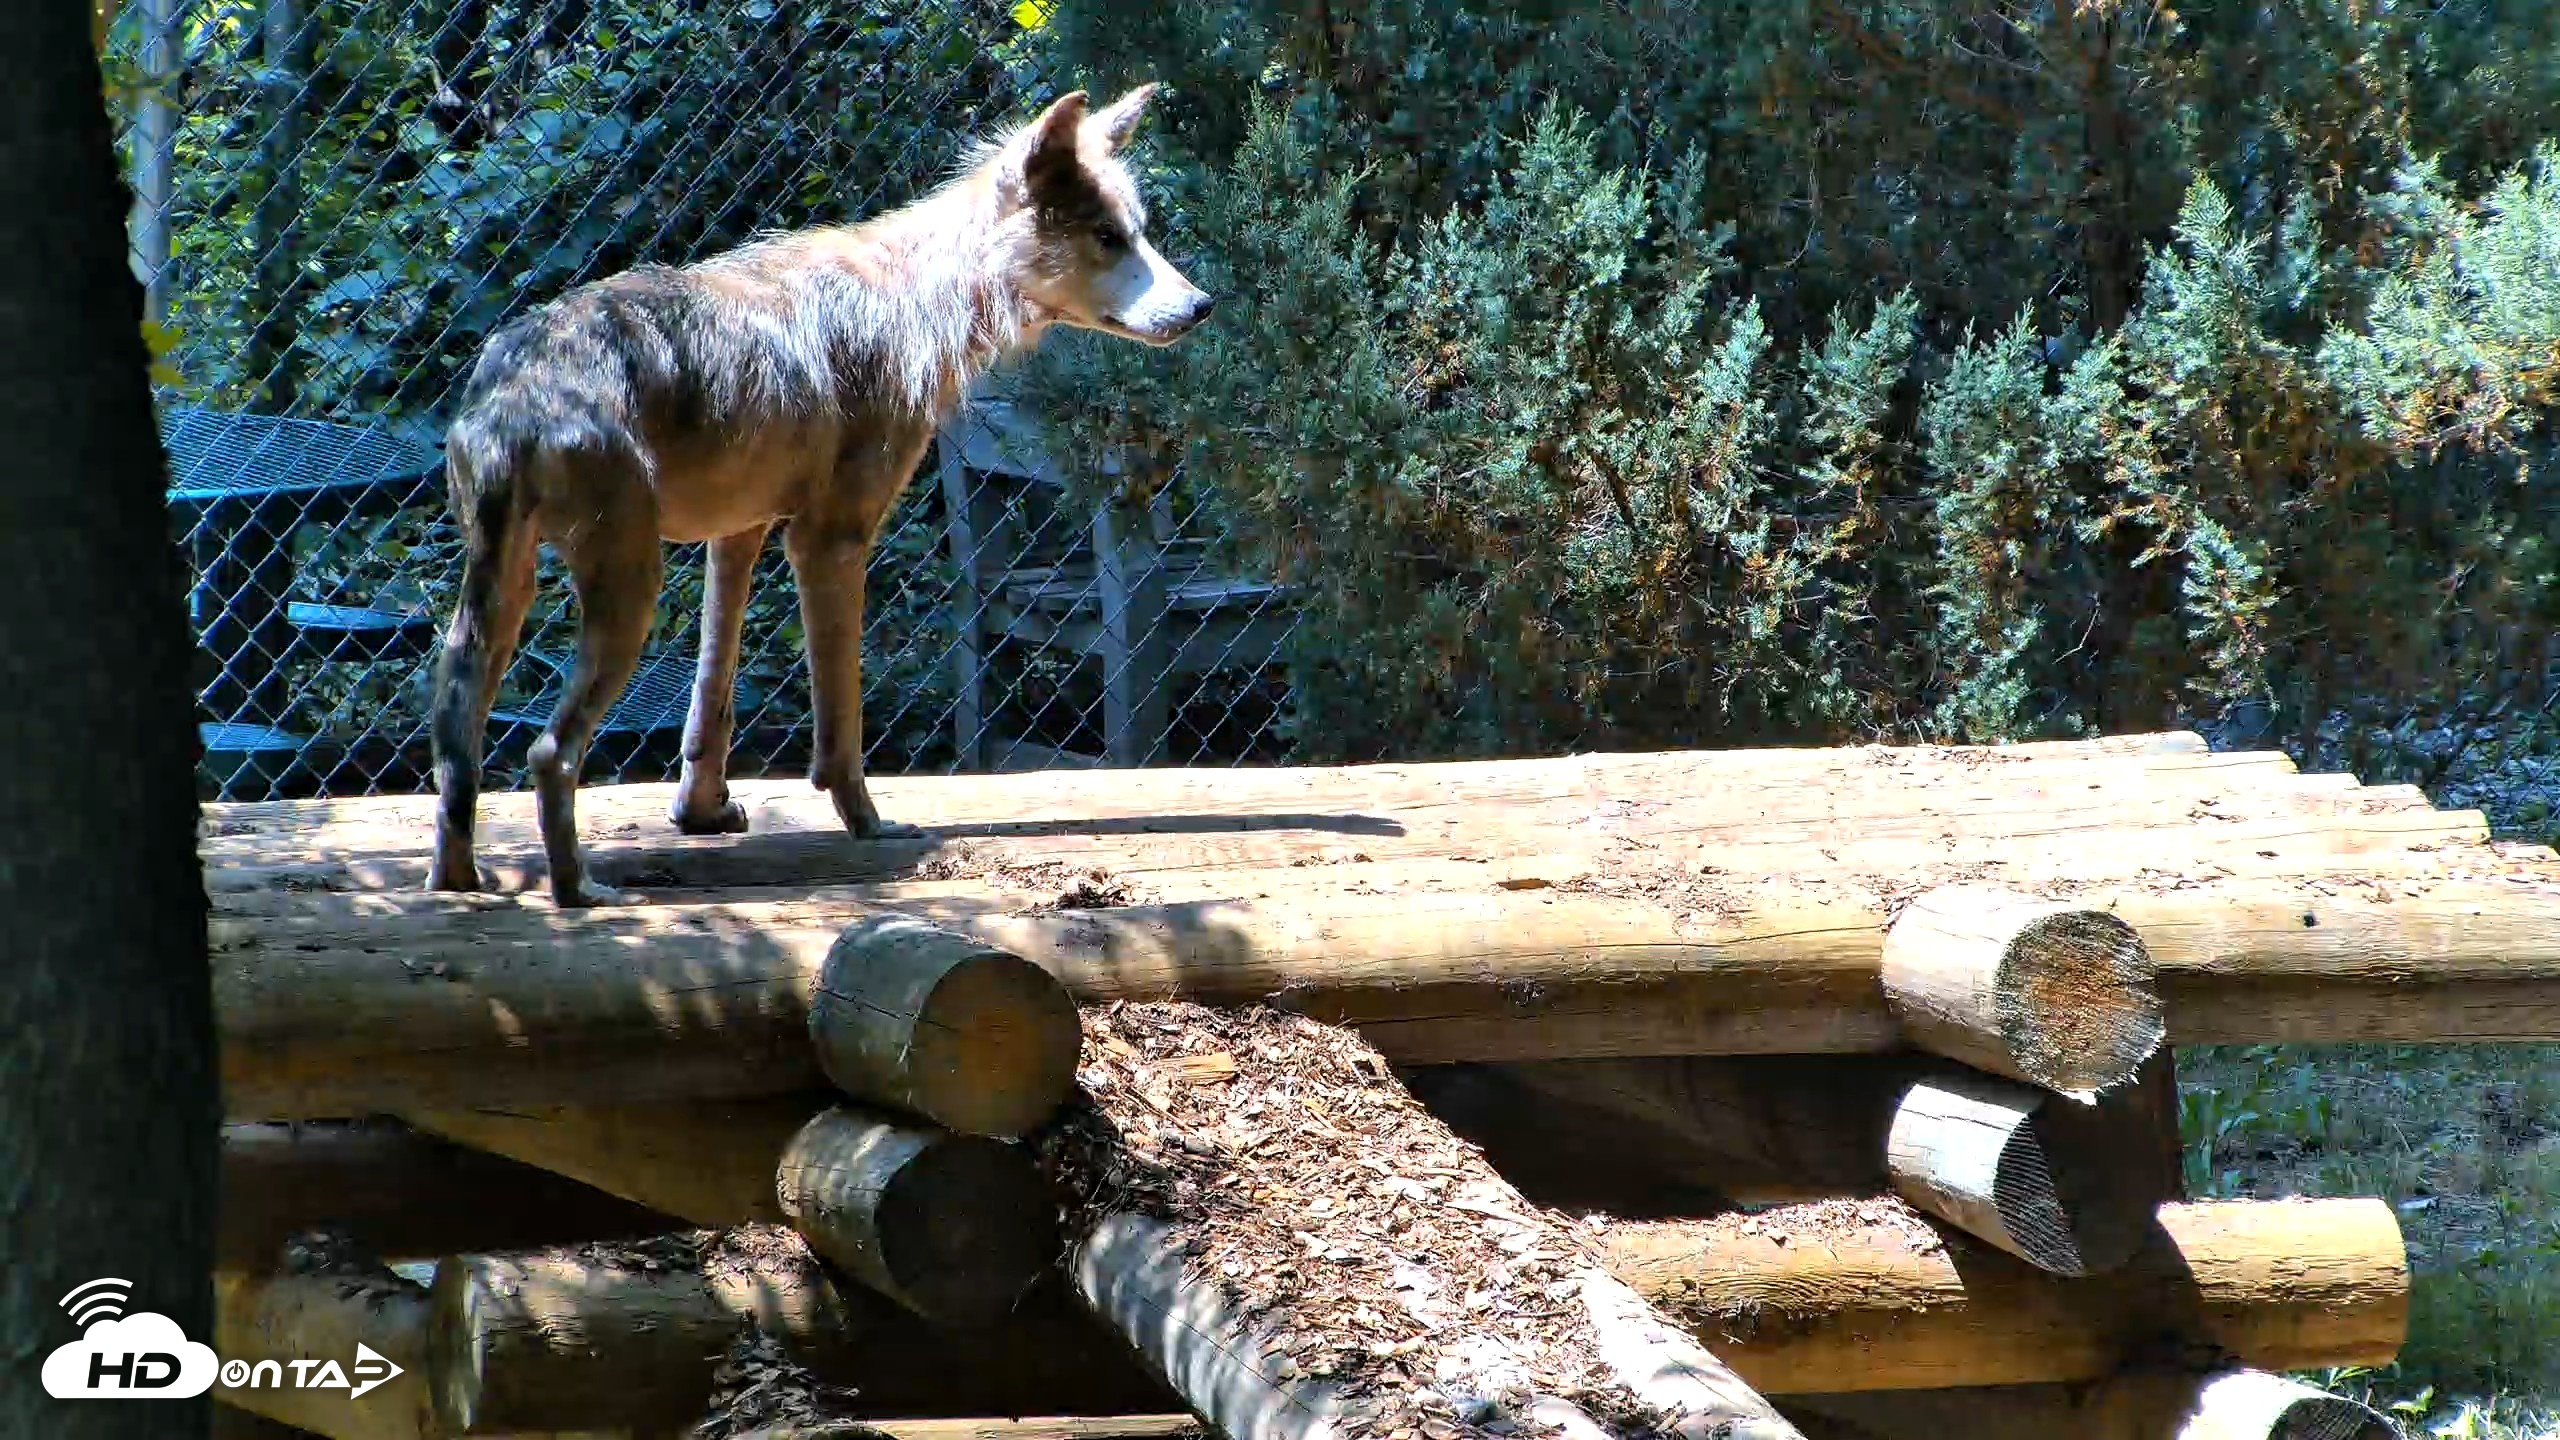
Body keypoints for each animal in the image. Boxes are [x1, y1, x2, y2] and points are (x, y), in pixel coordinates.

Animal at [426, 84, 1213, 907]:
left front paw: (702, 814)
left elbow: (712, 702)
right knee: (549, 752)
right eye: (1107, 238)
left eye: (1139, 233)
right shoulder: (830, 539)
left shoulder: (739, 536)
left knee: (456, 744)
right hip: (627, 594)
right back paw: (578, 891)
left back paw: (460, 880)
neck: (925, 296)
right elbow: (841, 719)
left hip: (498, 607)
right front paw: (867, 822)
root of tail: (517, 388)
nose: (1202, 306)